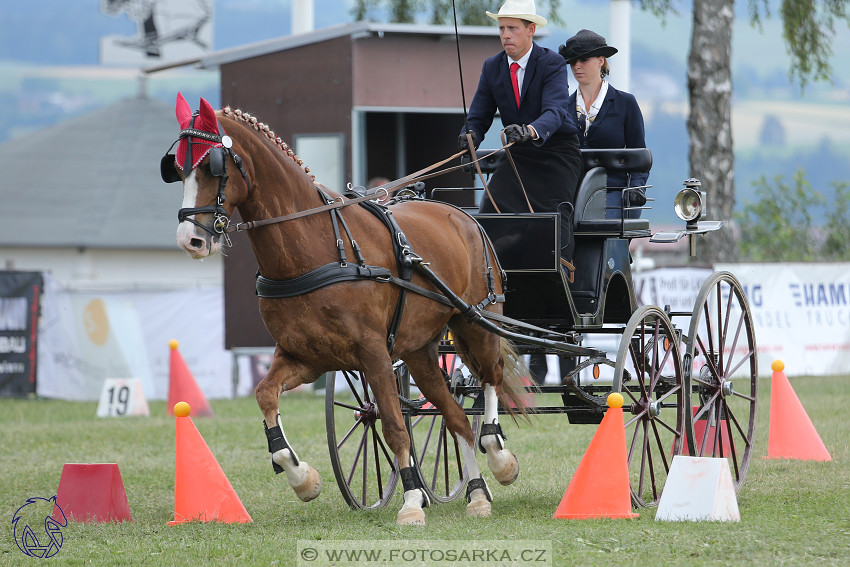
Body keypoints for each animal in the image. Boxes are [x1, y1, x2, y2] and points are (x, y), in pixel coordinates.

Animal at [161, 95, 528, 524]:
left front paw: (411, 501)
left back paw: (499, 457)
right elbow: (265, 394)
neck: (315, 247)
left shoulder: (374, 354)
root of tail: (462, 215)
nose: (189, 239)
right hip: (420, 351)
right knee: (455, 417)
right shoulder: (306, 357)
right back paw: (477, 494)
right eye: (177, 169)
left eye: (212, 167)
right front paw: (301, 476)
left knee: (490, 379)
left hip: (477, 322)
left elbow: (394, 425)